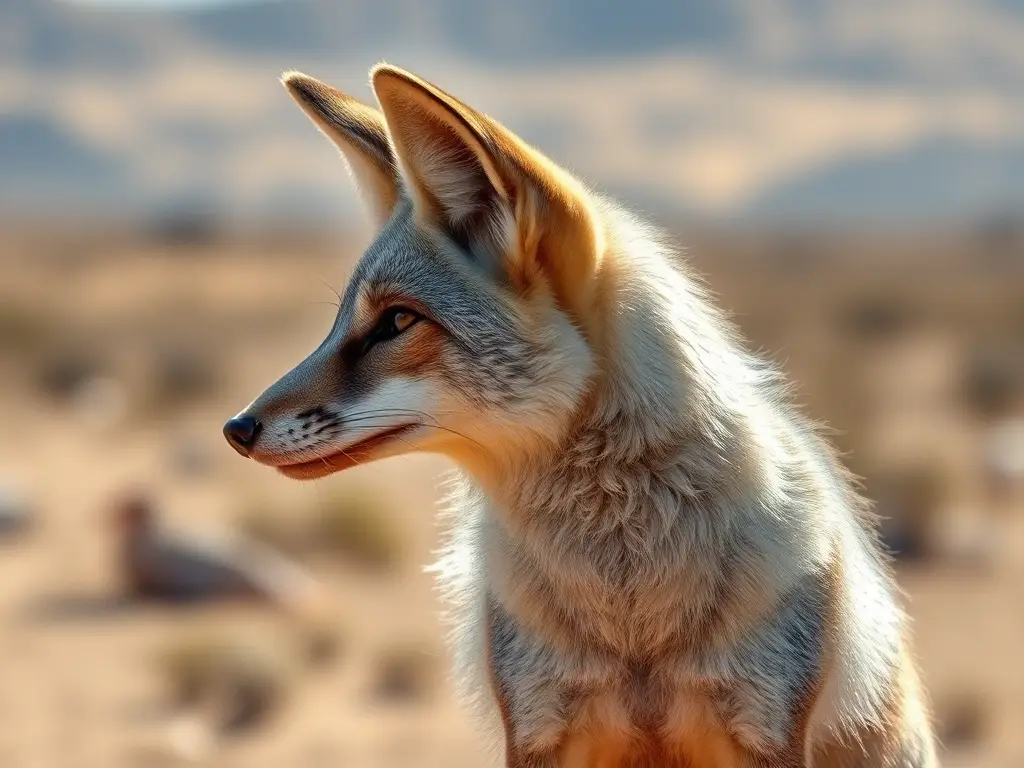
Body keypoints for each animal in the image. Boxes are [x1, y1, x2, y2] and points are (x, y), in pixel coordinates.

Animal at [222, 63, 937, 767]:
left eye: (397, 321)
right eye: (342, 320)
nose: (236, 429)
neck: (631, 618)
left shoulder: (766, 728)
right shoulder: (538, 726)